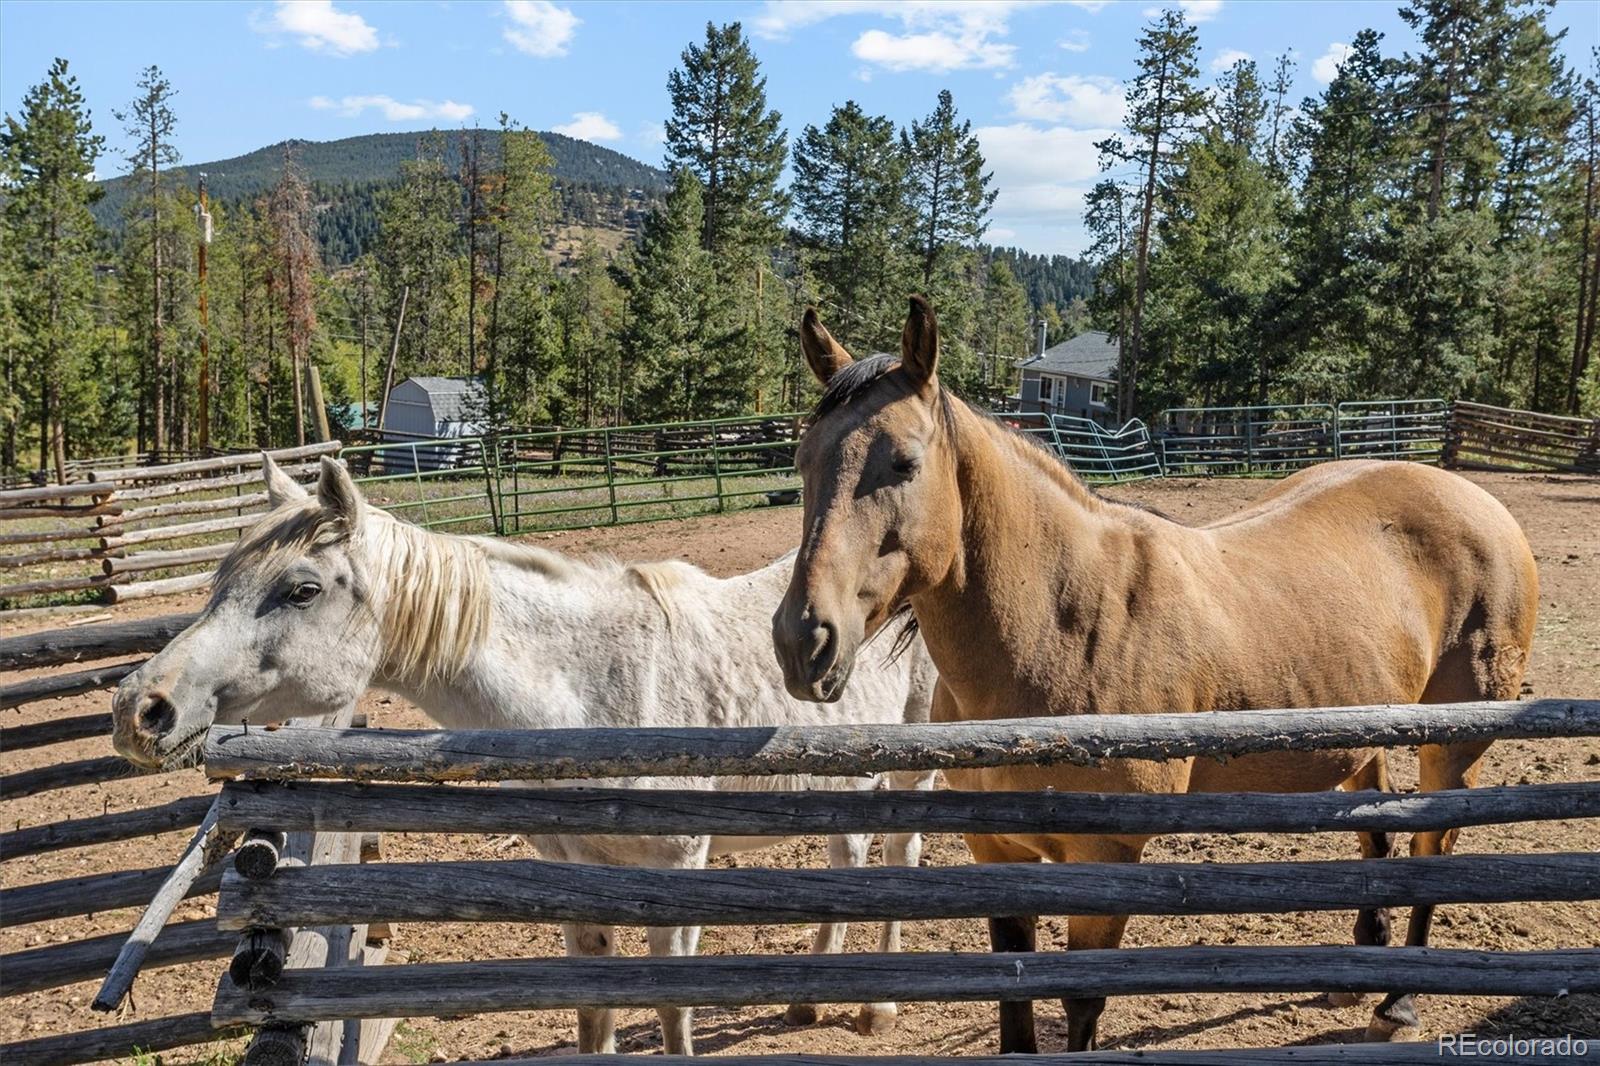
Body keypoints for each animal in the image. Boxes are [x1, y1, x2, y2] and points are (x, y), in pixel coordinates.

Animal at [112, 451, 934, 1049]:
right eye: (221, 578)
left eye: (302, 589)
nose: (140, 708)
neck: (596, 694)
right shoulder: (575, 879)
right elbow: (594, 1009)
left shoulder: (678, 871)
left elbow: (672, 1009)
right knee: (851, 858)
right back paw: (809, 1000)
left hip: (916, 760)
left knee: (900, 855)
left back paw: (879, 1009)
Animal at [768, 294, 1542, 1049]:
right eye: (802, 461)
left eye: (903, 462)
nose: (802, 640)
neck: (1061, 631)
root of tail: (1477, 501)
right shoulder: (997, 853)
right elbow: (1015, 1006)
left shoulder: (1106, 863)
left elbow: (1081, 1006)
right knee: (1376, 828)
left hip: (1451, 743)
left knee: (1430, 843)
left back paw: (1400, 999)